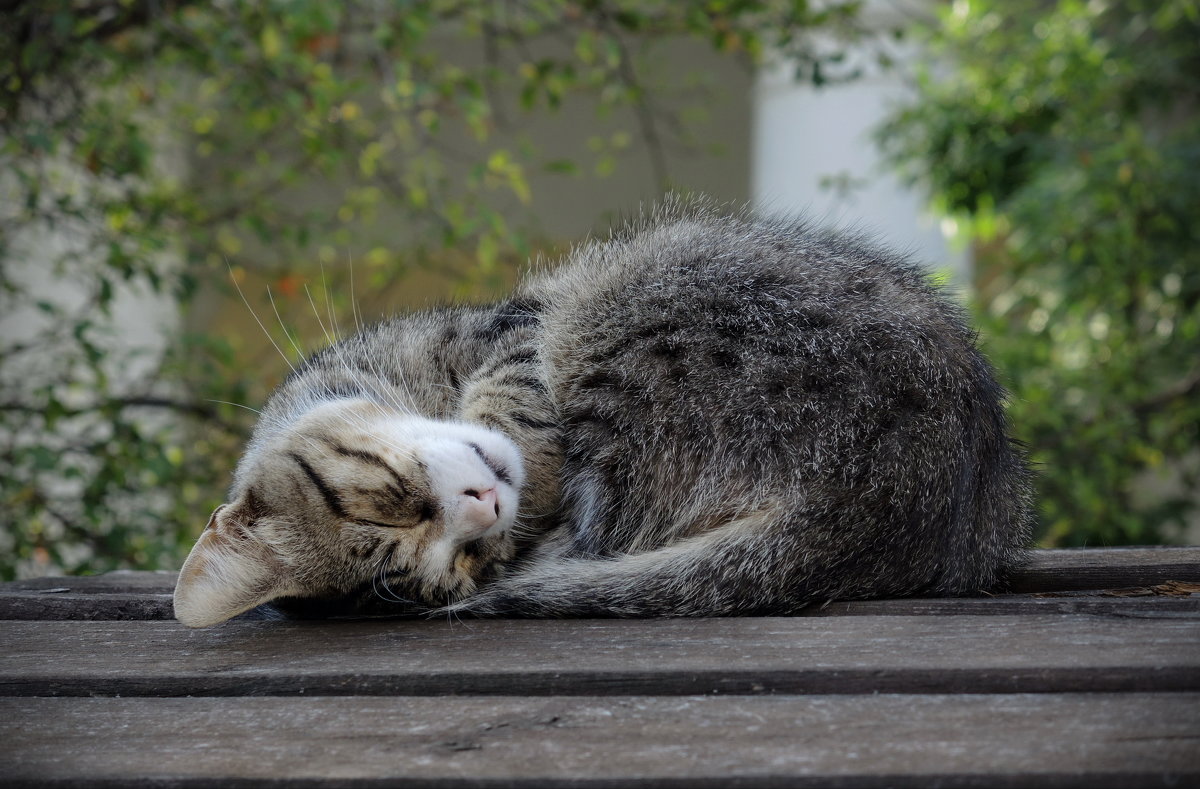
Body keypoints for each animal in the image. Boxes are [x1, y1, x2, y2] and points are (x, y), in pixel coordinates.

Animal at [174, 200, 1036, 623]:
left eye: (392, 502)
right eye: (463, 562)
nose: (485, 509)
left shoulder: (513, 334)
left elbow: (510, 394)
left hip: (616, 303)